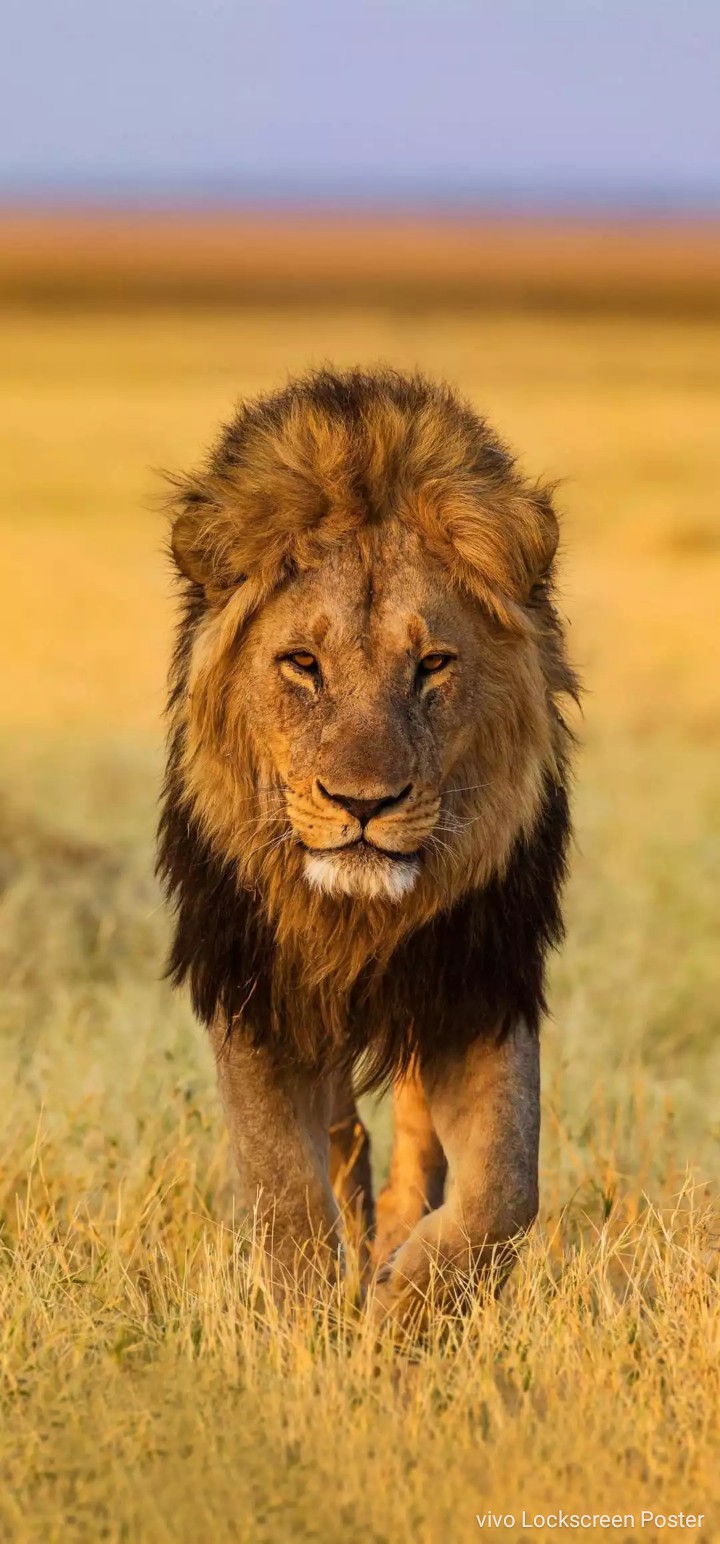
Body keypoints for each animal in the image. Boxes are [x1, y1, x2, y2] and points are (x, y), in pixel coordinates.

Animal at [157, 367, 577, 1326]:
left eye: (433, 666)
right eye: (303, 665)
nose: (362, 804)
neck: (357, 919)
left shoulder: (480, 981)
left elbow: (504, 1191)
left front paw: (402, 1315)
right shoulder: (254, 987)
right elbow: (283, 1184)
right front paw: (305, 1325)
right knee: (340, 1133)